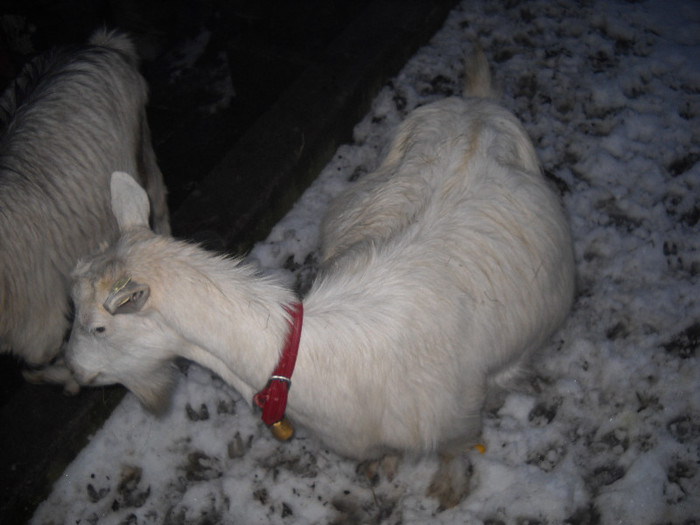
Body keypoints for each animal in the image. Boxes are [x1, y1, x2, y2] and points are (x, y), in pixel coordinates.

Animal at [0, 26, 170, 390]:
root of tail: (101, 45)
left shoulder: (37, 321)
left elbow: (43, 355)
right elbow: (35, 365)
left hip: (140, 148)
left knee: (158, 202)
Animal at [64, 49, 576, 508]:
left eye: (99, 327)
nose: (72, 373)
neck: (312, 356)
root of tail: (477, 103)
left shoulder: (456, 420)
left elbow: (454, 453)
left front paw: (449, 491)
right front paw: (384, 467)